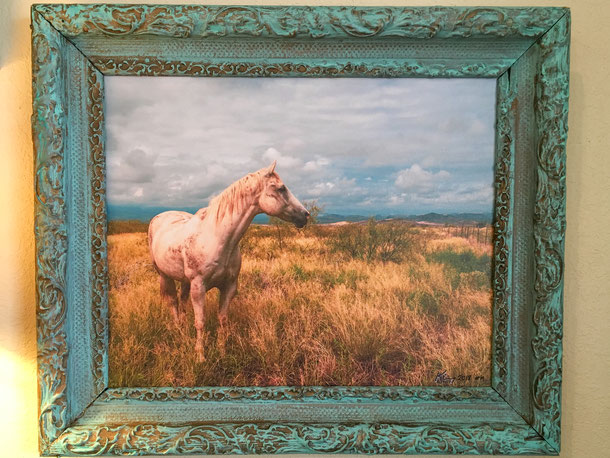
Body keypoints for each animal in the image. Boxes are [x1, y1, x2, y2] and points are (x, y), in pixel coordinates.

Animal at [147, 162, 308, 362]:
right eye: (281, 188)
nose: (305, 215)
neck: (217, 237)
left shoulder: (229, 286)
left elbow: (223, 318)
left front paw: (222, 350)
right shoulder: (198, 287)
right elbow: (200, 321)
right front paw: (200, 356)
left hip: (185, 281)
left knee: (182, 302)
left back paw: (183, 328)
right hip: (164, 275)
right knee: (173, 302)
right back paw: (178, 330)